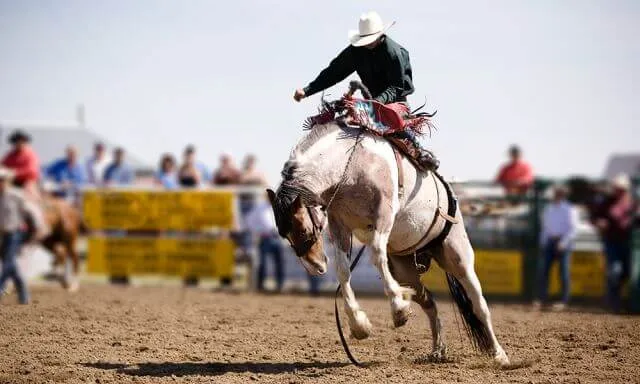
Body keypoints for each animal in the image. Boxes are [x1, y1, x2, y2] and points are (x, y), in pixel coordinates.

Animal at [266, 82, 510, 366]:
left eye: (304, 229)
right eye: (284, 235)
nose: (316, 266)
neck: (351, 164)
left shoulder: (383, 215)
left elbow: (376, 255)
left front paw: (398, 308)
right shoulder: (339, 225)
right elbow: (343, 270)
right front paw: (359, 325)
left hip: (457, 255)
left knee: (478, 304)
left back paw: (500, 355)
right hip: (406, 267)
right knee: (429, 300)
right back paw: (438, 350)